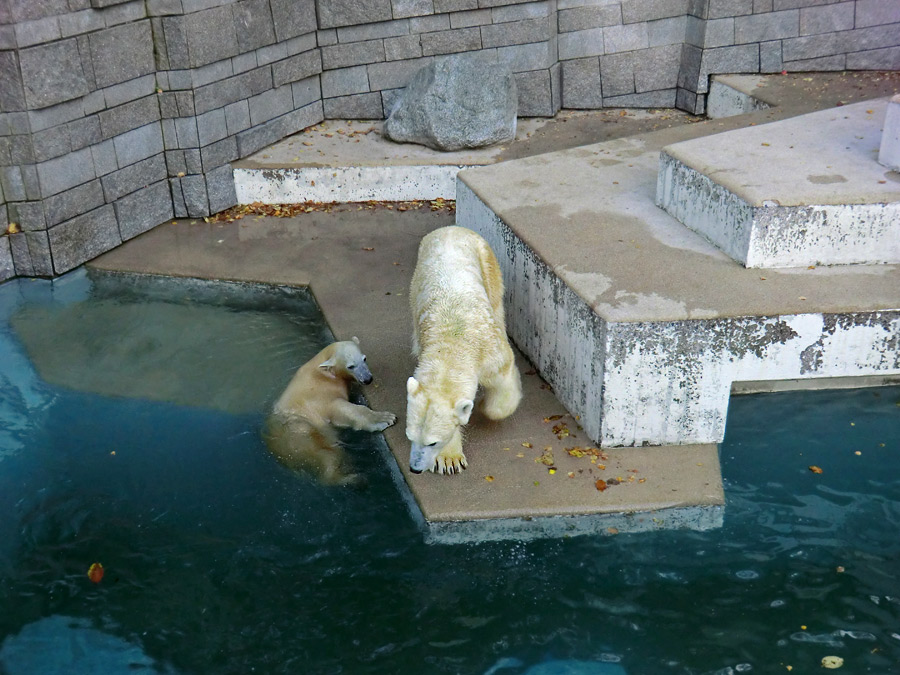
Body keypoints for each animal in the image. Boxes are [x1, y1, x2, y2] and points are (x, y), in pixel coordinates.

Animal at [264, 338, 398, 486]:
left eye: (364, 359)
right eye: (351, 366)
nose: (367, 379)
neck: (323, 372)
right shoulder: (320, 395)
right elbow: (341, 408)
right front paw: (385, 418)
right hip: (300, 432)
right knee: (327, 455)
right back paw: (352, 478)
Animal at [406, 227, 524, 476]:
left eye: (432, 442)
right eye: (410, 436)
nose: (414, 469)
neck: (453, 344)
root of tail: (451, 229)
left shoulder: (492, 354)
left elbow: (503, 385)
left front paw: (484, 407)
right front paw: (449, 459)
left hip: (487, 262)